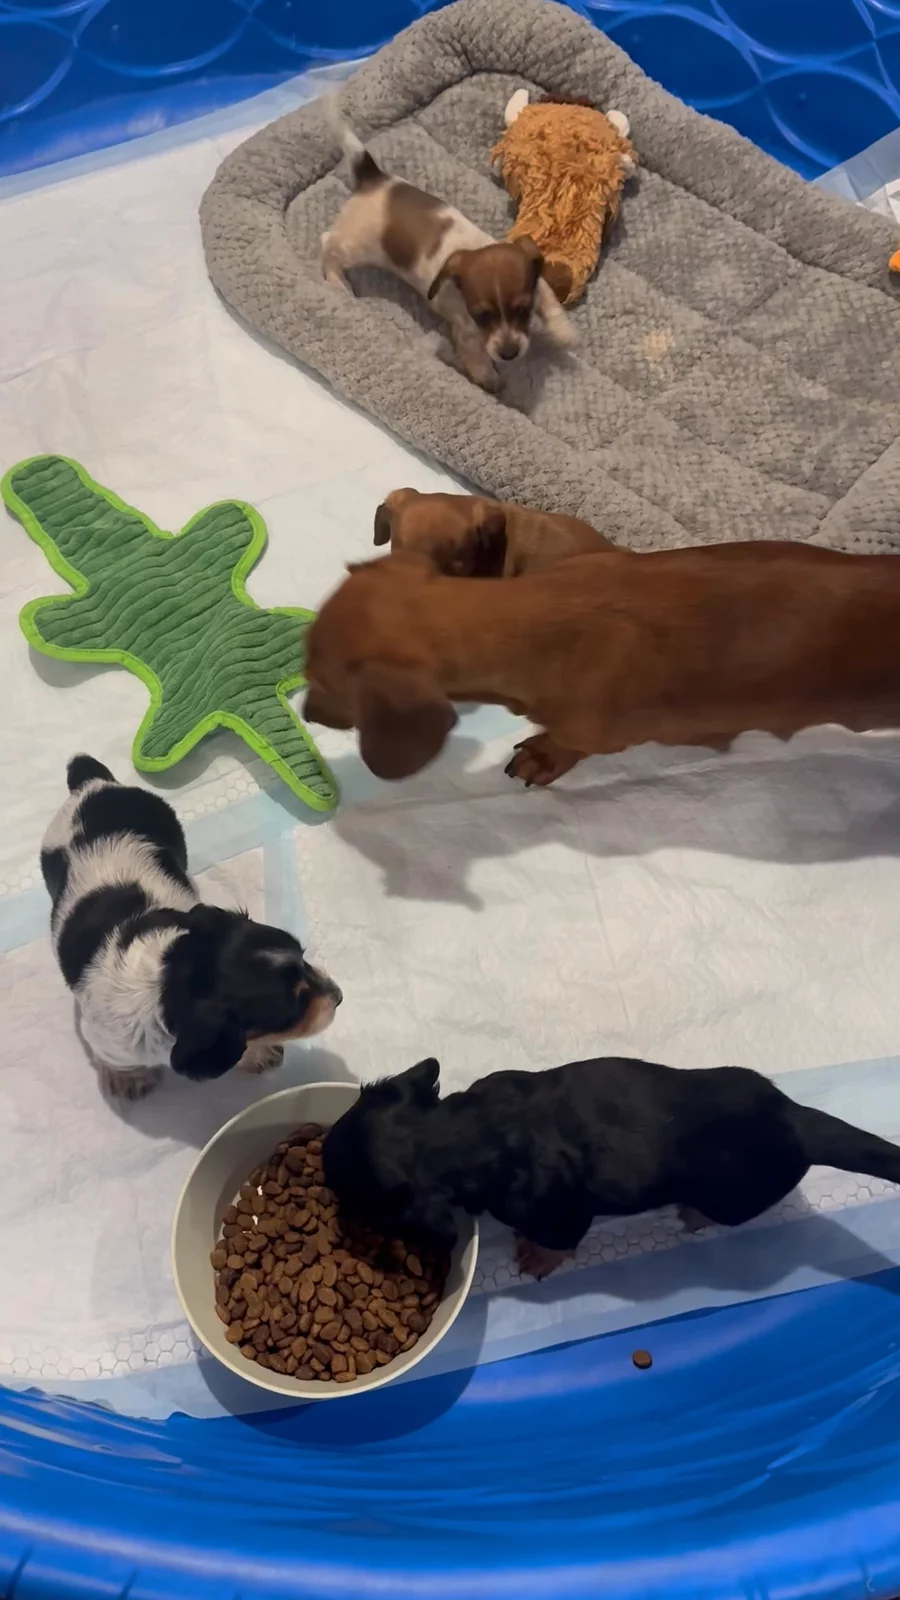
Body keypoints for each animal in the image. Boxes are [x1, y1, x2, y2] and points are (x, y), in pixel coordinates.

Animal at [41, 756, 342, 1099]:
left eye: (304, 958)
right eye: (294, 1006)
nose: (339, 995)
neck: (166, 975)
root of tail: (91, 782)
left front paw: (257, 1053)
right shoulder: (105, 1039)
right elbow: (117, 1061)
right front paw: (130, 1080)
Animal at [321, 119, 574, 392]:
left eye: (524, 309)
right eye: (482, 316)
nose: (509, 354)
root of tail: (373, 177)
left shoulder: (536, 279)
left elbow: (550, 301)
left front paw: (565, 333)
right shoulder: (466, 333)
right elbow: (478, 359)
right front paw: (491, 380)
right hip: (356, 247)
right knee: (326, 243)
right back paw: (336, 281)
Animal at [323, 1055, 900, 1278]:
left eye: (358, 1203)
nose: (323, 1163)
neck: (458, 1135)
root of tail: (796, 1118)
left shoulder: (558, 1213)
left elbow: (558, 1242)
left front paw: (535, 1259)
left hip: (735, 1195)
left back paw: (692, 1216)